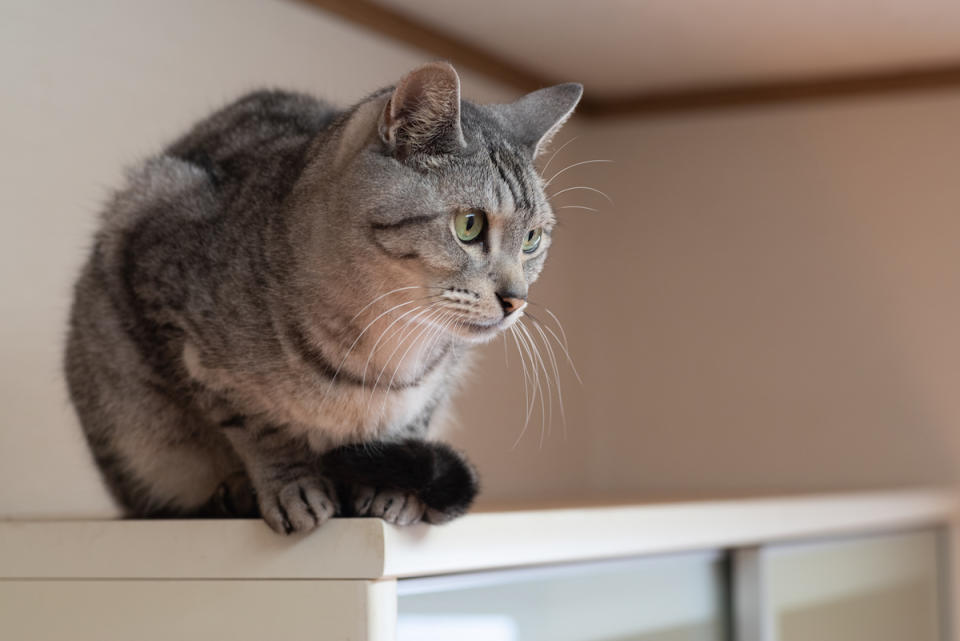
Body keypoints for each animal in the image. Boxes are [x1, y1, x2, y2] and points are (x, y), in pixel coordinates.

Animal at [65, 60, 584, 532]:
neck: (380, 353)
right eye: (470, 225)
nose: (517, 299)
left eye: (532, 239)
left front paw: (391, 491)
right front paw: (293, 485)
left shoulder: (441, 380)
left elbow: (408, 425)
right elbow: (259, 428)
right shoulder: (169, 306)